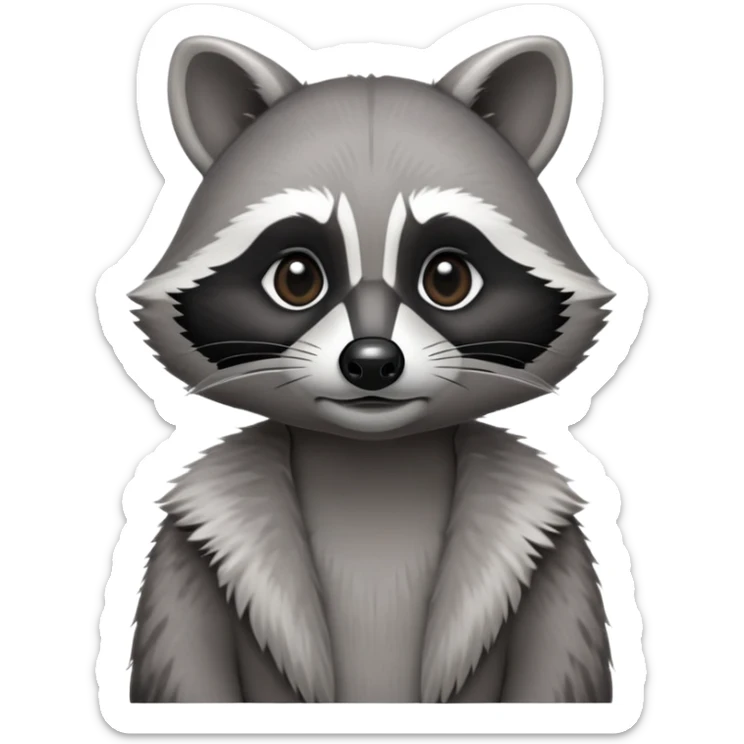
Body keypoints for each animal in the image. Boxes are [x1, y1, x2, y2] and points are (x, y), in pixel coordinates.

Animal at [128, 34, 615, 703]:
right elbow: (185, 664)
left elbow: (557, 665)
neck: (373, 469)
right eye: (297, 278)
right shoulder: (186, 548)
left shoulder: (556, 551)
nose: (372, 362)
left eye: (447, 278)